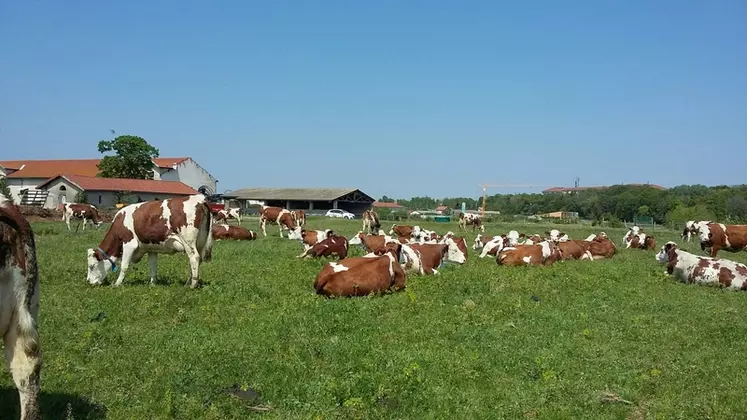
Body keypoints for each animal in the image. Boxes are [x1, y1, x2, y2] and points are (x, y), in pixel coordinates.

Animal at [85, 194, 213, 288]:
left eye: (92, 266)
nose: (89, 282)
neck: (119, 223)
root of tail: (199, 199)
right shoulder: (151, 248)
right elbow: (152, 266)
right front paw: (152, 283)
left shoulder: (129, 243)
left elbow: (124, 265)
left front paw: (117, 284)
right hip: (200, 241)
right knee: (197, 260)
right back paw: (189, 282)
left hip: (188, 241)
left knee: (194, 257)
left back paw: (193, 285)